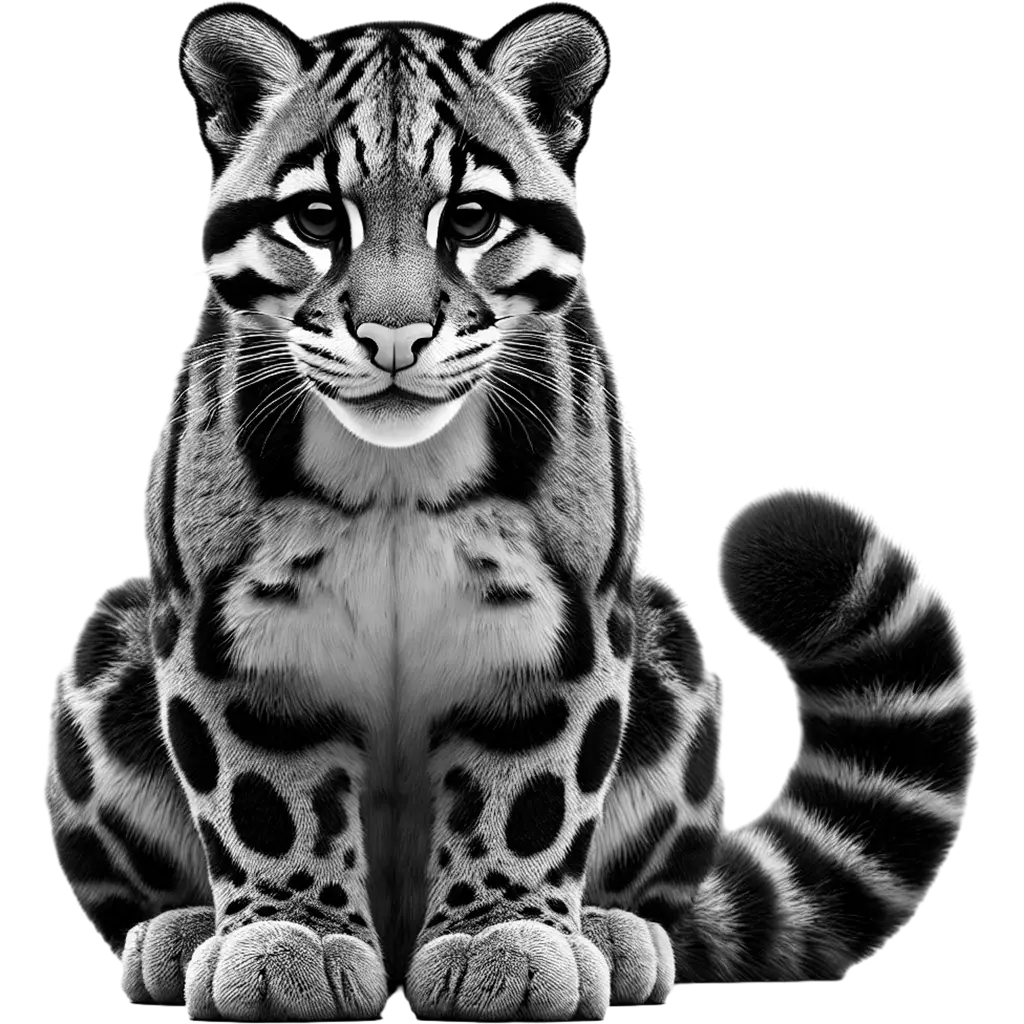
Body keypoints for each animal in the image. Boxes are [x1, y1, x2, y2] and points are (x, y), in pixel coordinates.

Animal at [44, 4, 978, 1020]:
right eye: (317, 218)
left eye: (473, 217)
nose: (395, 335)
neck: (396, 468)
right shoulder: (226, 622)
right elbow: (266, 798)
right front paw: (292, 938)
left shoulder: (562, 622)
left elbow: (529, 795)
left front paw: (506, 941)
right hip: (111, 642)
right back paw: (177, 935)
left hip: (669, 647)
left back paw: (616, 936)